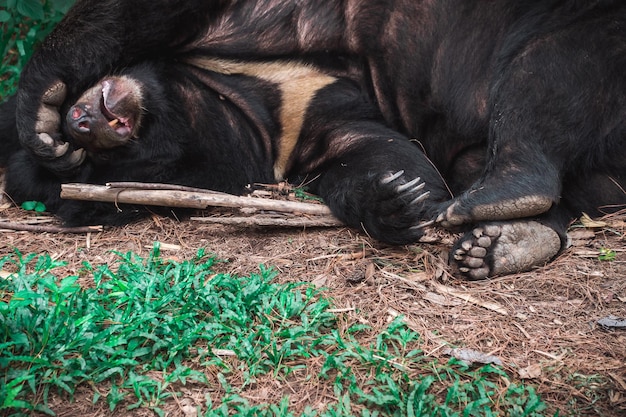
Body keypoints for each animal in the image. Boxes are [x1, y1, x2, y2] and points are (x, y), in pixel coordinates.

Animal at [11, 1, 626, 280]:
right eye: (104, 160)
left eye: (136, 132)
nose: (90, 123)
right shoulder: (310, 127)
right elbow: (380, 153)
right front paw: (398, 201)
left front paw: (39, 109)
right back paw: (503, 238)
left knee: (552, 65)